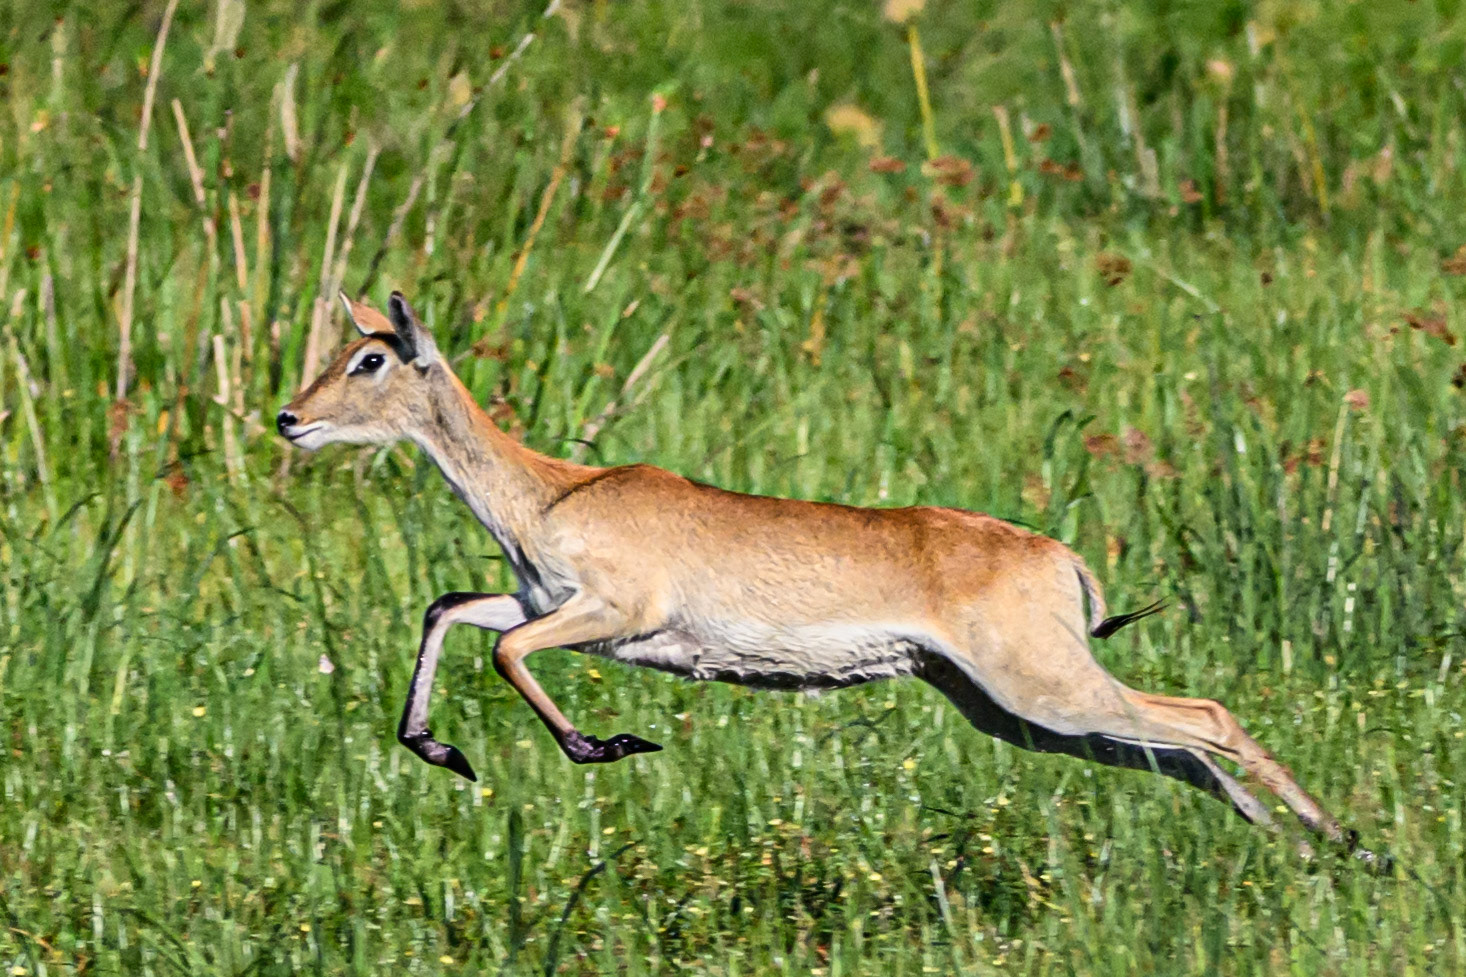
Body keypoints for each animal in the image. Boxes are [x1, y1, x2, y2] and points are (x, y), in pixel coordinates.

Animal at [278, 290, 1381, 867]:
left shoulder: (611, 615)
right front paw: (442, 749)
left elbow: (503, 647)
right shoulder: (548, 602)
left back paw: (1350, 844)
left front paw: (608, 743)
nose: (289, 418)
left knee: (1206, 715)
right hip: (1010, 709)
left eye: (371, 357)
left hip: (1044, 688)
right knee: (1179, 750)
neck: (549, 492)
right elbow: (449, 607)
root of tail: (1057, 556)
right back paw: (1297, 847)